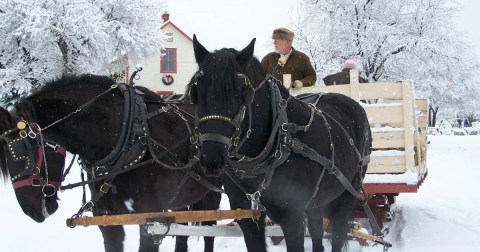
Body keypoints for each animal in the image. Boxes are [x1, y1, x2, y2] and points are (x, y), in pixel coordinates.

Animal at [189, 36, 374, 252]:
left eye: (242, 92)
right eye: (195, 92)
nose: (211, 158)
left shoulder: (292, 216)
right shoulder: (247, 215)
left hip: (347, 193)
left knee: (337, 233)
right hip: (316, 201)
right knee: (317, 229)